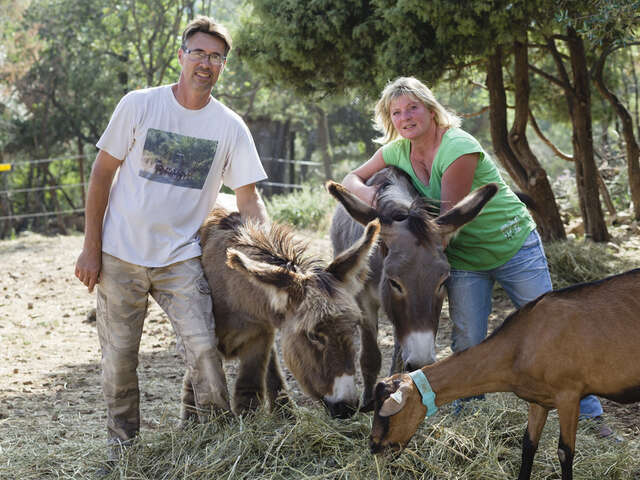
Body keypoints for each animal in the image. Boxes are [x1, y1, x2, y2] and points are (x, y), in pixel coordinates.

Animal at [181, 206, 380, 420]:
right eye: (313, 335)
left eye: (354, 327)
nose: (348, 407)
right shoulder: (201, 335)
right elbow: (197, 373)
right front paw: (192, 420)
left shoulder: (260, 337)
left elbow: (250, 385)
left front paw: (251, 419)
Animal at [368, 268, 640, 478]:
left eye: (388, 415)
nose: (374, 447)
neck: (521, 344)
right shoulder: (539, 400)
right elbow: (528, 445)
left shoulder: (569, 395)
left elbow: (564, 452)